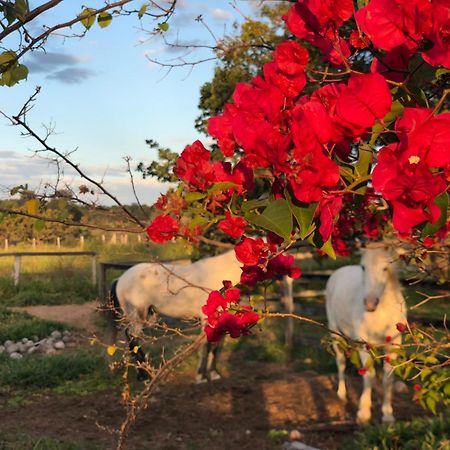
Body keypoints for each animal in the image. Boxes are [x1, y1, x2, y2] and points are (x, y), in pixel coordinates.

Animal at [107, 251, 243, 382]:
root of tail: (120, 279)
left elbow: (215, 346)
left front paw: (213, 374)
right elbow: (207, 346)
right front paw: (201, 377)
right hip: (137, 316)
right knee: (131, 337)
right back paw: (144, 375)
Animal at [326, 244, 406, 424]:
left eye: (385, 268)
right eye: (363, 267)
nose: (369, 303)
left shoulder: (393, 344)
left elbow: (387, 378)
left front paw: (387, 415)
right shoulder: (364, 344)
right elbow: (369, 374)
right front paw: (363, 414)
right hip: (335, 332)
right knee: (340, 361)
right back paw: (342, 394)